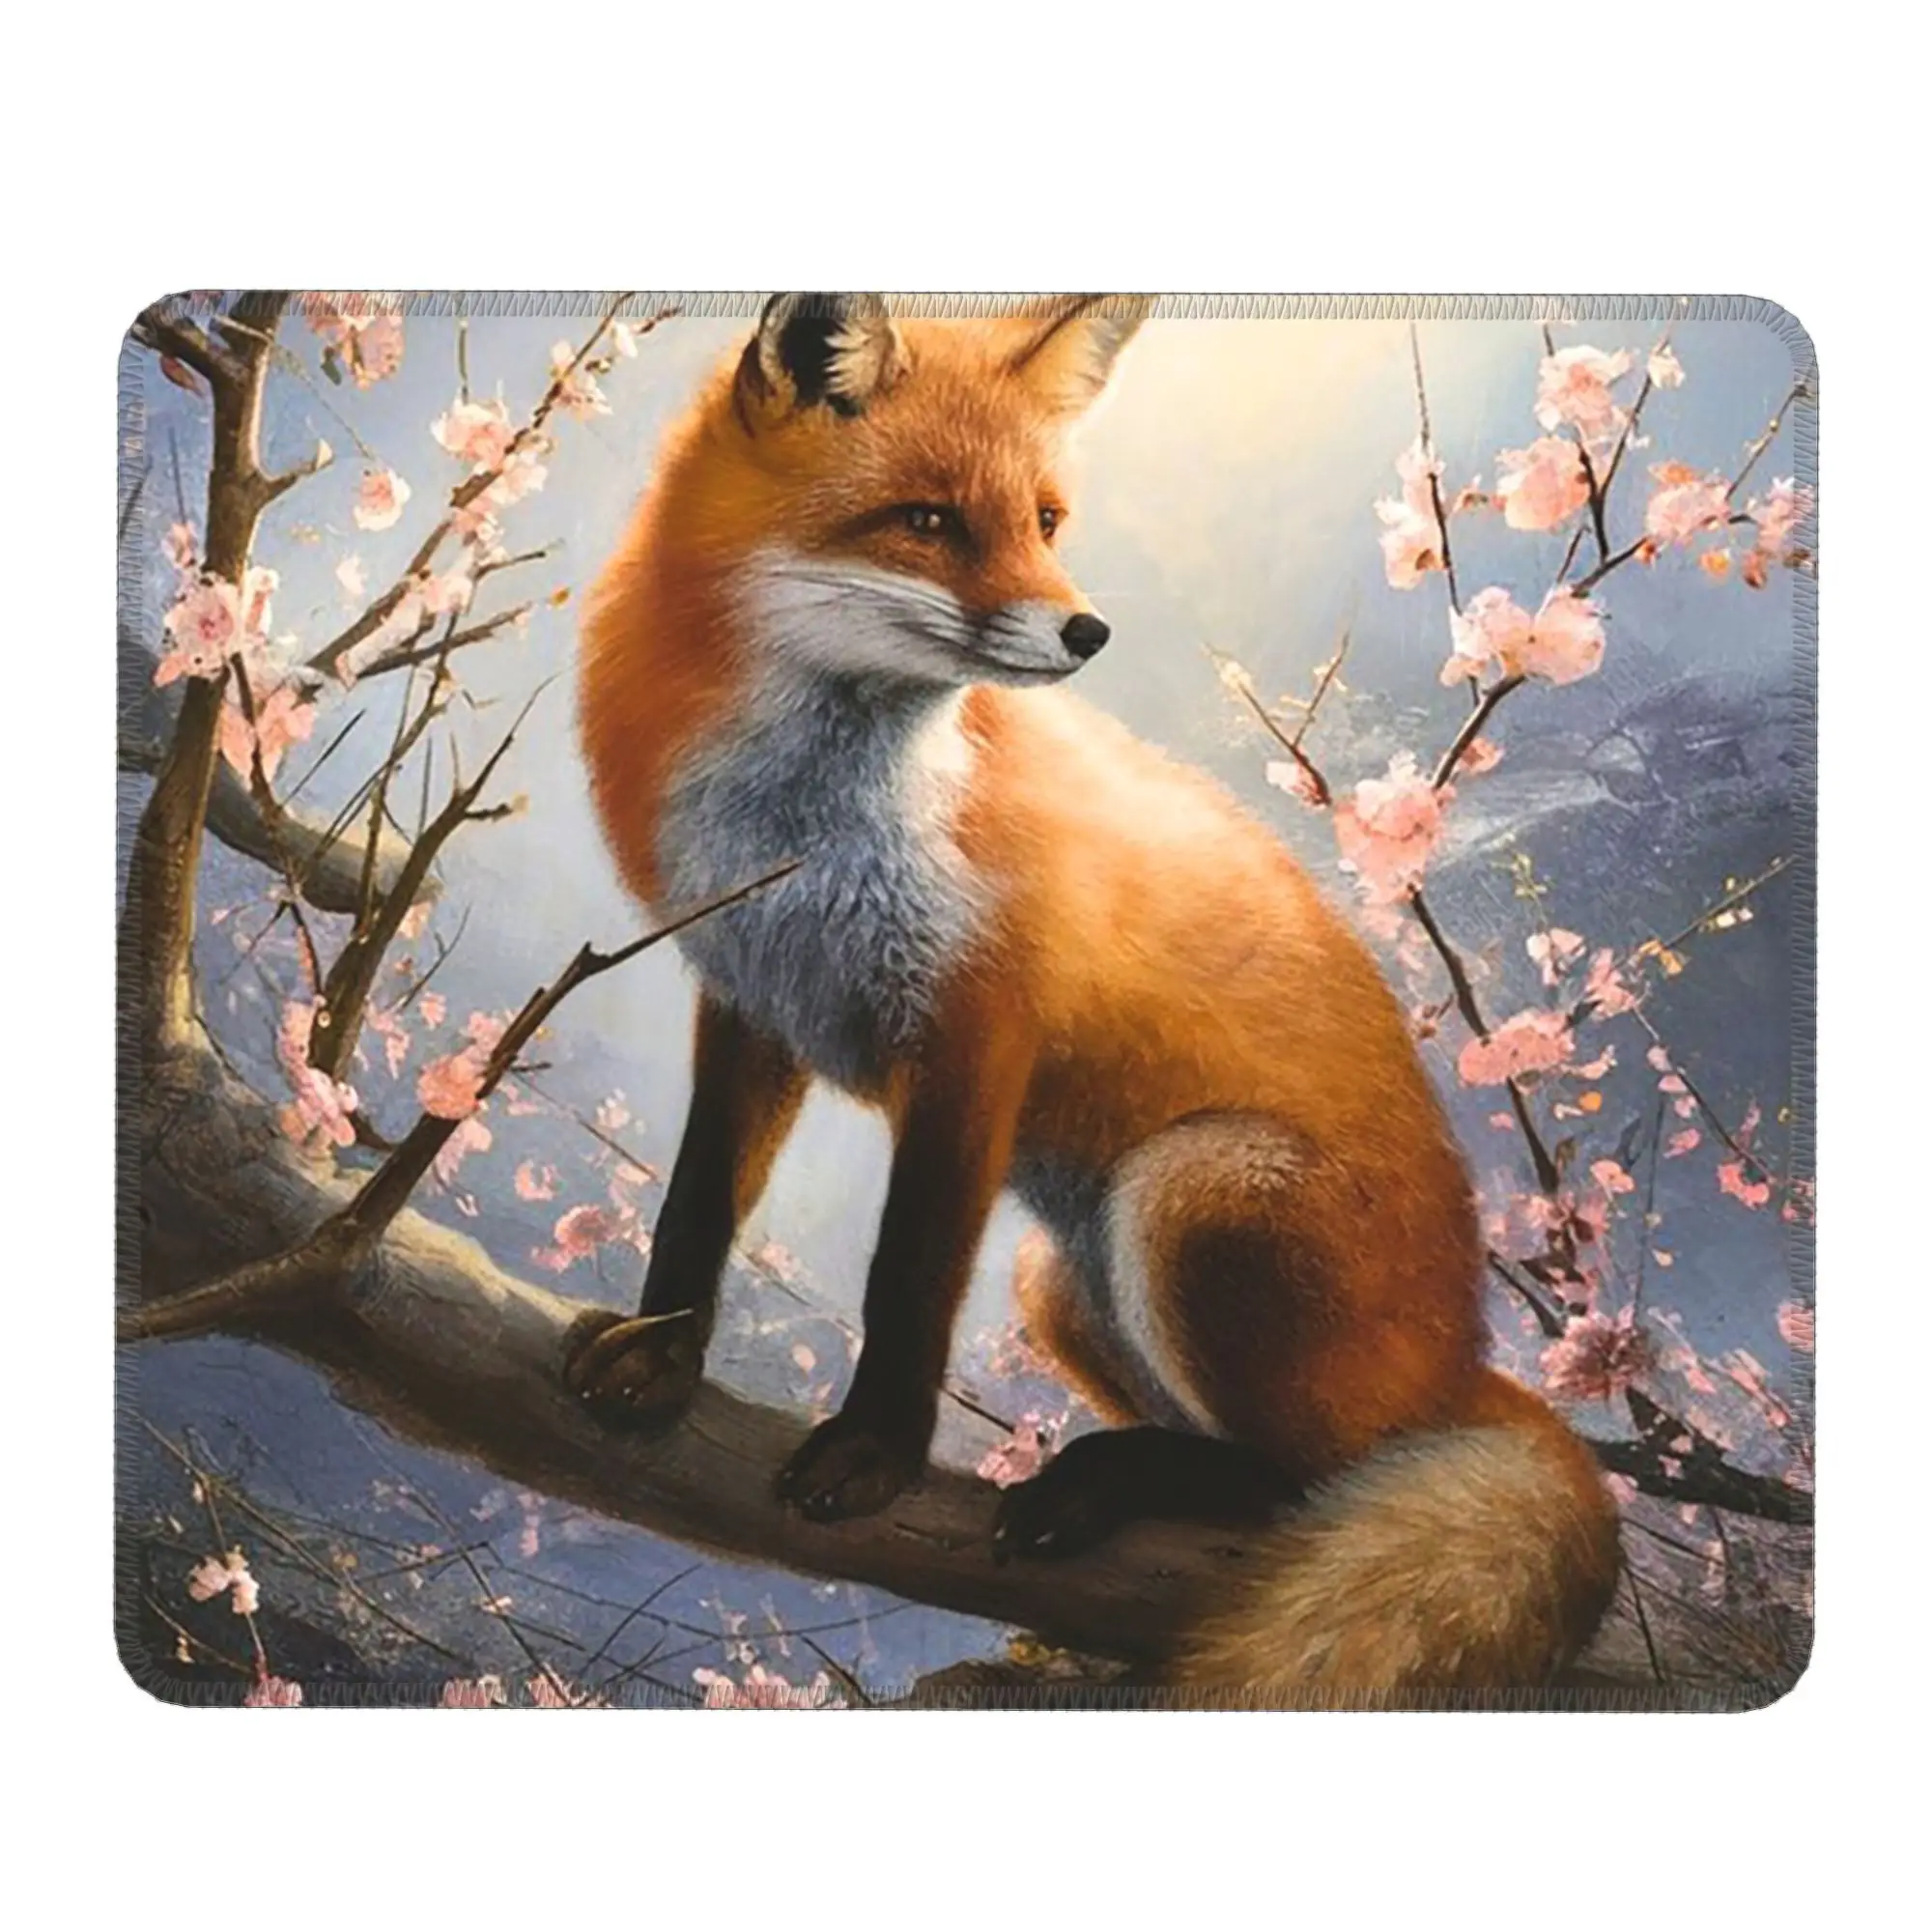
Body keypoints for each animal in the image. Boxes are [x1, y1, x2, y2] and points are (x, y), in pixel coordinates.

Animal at [568, 293, 1623, 1697]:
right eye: (929, 520)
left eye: (1044, 520)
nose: (1086, 632)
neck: (809, 824)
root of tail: (1467, 1367)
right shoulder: (748, 991)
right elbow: (697, 1204)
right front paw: (662, 1352)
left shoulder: (978, 1030)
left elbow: (907, 1277)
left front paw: (873, 1453)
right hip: (1059, 1281)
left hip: (1189, 1190)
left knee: (1301, 1477)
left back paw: (1101, 1483)